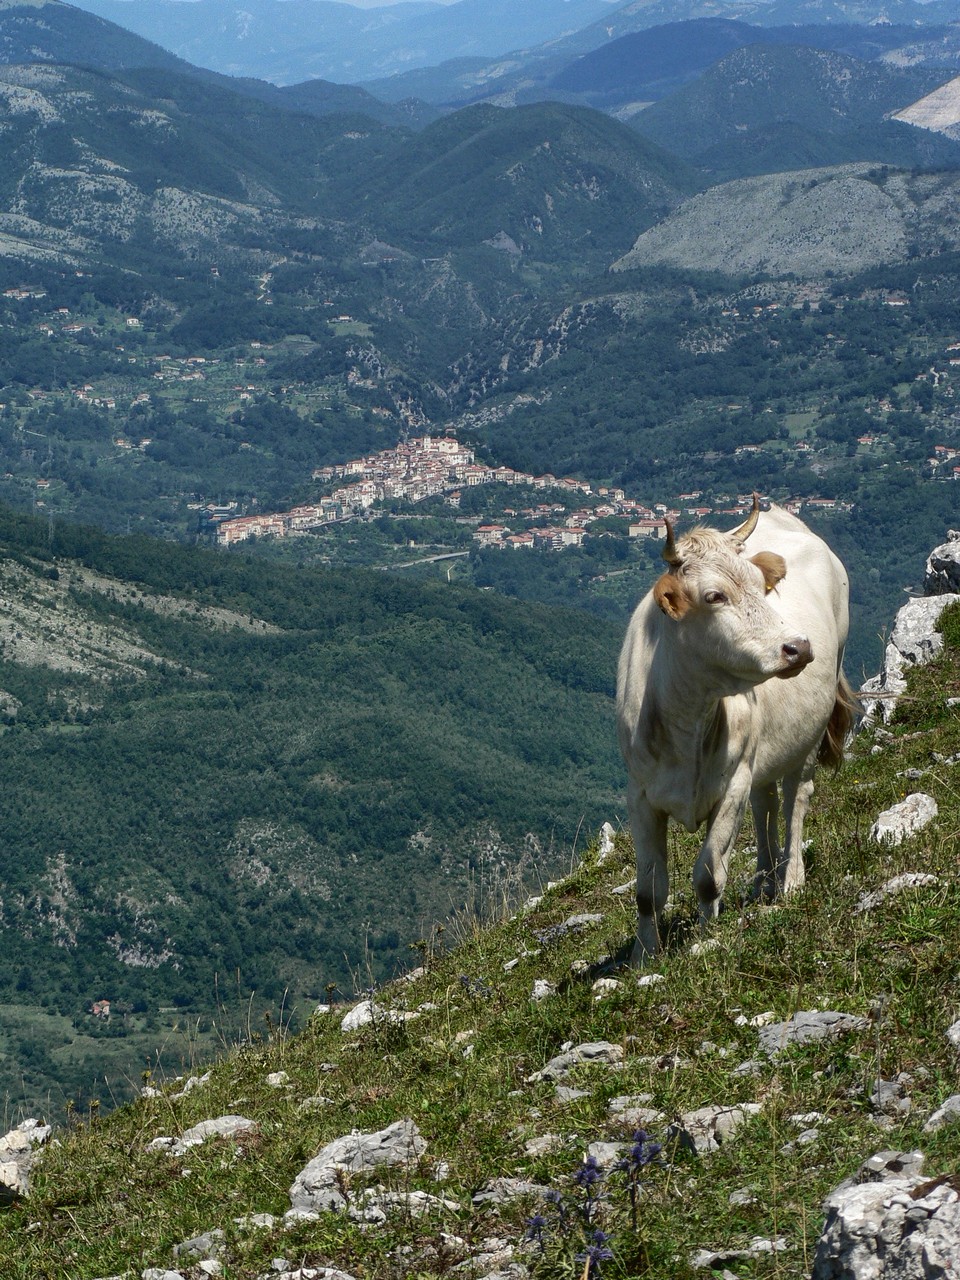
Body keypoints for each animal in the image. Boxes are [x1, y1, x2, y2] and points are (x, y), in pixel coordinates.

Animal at [616, 496, 855, 961]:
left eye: (762, 586)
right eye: (714, 595)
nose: (798, 647)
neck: (687, 718)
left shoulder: (732, 784)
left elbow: (709, 873)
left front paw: (708, 936)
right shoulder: (640, 796)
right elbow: (648, 890)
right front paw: (642, 955)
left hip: (808, 735)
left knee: (794, 800)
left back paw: (790, 880)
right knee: (766, 805)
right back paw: (764, 878)